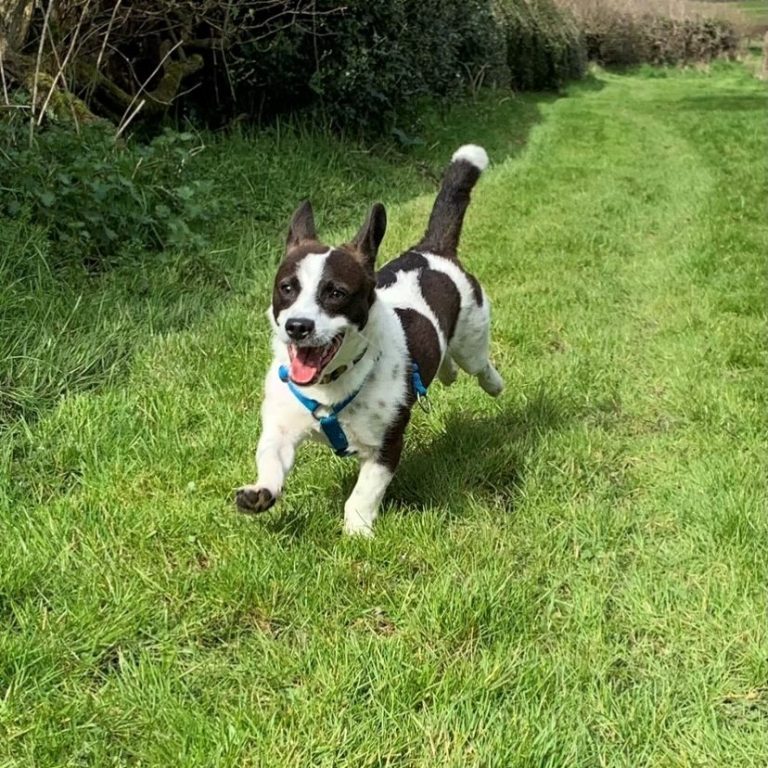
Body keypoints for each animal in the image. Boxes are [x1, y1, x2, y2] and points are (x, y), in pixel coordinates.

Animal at [237, 147, 508, 536]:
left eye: (336, 293)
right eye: (287, 288)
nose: (297, 326)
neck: (330, 385)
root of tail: (432, 250)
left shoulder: (386, 446)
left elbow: (363, 493)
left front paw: (357, 531)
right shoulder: (281, 427)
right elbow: (271, 457)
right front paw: (261, 491)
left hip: (472, 338)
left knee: (479, 363)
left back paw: (492, 383)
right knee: (448, 364)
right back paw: (447, 372)